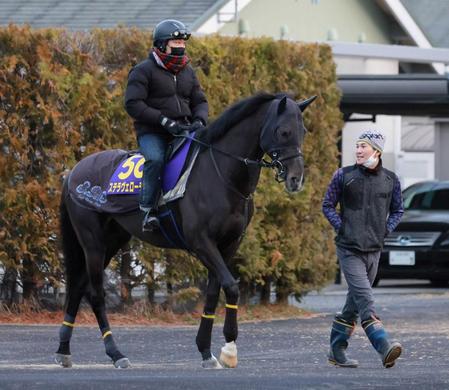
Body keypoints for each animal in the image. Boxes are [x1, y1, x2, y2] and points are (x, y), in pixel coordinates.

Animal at [55, 91, 316, 368]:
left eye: (303, 131)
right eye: (284, 132)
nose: (296, 179)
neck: (221, 174)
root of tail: (73, 172)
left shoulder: (229, 244)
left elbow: (213, 292)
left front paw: (206, 350)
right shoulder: (201, 242)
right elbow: (231, 287)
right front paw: (229, 348)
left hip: (112, 240)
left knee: (78, 286)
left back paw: (63, 349)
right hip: (92, 242)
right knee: (95, 294)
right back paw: (115, 353)